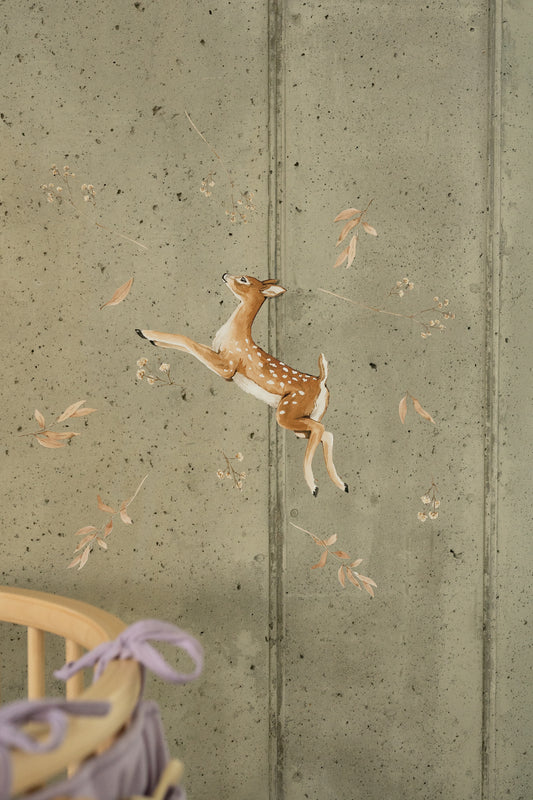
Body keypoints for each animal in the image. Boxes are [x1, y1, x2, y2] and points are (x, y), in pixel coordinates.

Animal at [136, 273, 348, 497]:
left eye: (244, 279)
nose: (225, 274)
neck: (234, 336)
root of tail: (321, 382)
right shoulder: (219, 356)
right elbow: (190, 344)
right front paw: (149, 336)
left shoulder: (228, 366)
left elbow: (188, 341)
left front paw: (145, 332)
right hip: (303, 418)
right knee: (326, 433)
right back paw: (342, 484)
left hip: (288, 411)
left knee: (320, 429)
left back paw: (314, 486)